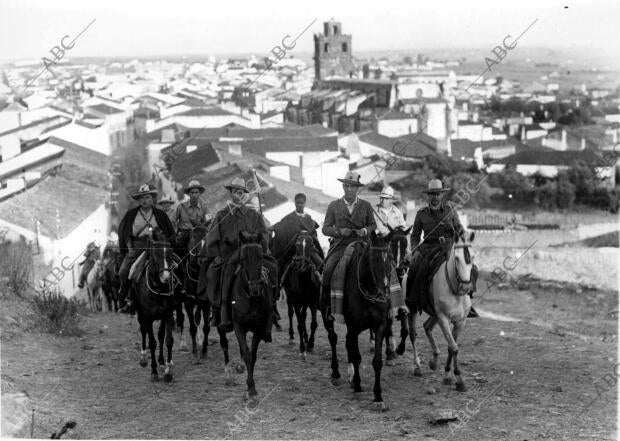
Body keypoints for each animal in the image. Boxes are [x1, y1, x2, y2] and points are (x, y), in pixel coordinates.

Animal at [133, 230, 177, 382]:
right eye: (155, 256)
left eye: (170, 255)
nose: (166, 276)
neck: (158, 291)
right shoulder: (148, 317)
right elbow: (152, 342)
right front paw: (154, 372)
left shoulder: (168, 315)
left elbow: (168, 340)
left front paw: (168, 372)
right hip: (140, 311)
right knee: (143, 330)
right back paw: (143, 358)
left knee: (161, 335)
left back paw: (162, 361)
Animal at [229, 230, 272, 398]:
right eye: (243, 259)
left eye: (261, 257)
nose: (255, 289)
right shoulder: (238, 326)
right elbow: (247, 355)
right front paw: (250, 386)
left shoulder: (259, 328)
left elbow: (253, 356)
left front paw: (251, 386)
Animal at [282, 229, 324, 360]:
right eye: (297, 245)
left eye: (311, 245)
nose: (302, 265)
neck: (303, 280)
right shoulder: (296, 301)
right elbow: (300, 324)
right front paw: (302, 348)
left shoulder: (312, 300)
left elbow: (313, 323)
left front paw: (310, 344)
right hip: (289, 298)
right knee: (291, 314)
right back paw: (292, 337)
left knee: (303, 316)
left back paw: (306, 339)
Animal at [320, 232, 392, 408]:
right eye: (373, 258)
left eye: (391, 257)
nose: (383, 294)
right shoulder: (353, 327)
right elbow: (357, 356)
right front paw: (359, 386)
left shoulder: (380, 326)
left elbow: (377, 361)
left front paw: (378, 396)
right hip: (327, 317)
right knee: (333, 338)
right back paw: (336, 372)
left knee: (347, 344)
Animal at [406, 232, 474, 390]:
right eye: (457, 258)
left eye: (473, 257)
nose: (466, 287)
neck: (455, 291)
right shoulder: (443, 318)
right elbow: (454, 347)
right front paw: (458, 380)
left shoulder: (460, 322)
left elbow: (451, 346)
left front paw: (448, 374)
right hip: (413, 309)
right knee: (413, 334)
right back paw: (417, 366)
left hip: (434, 314)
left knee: (427, 327)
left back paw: (434, 360)